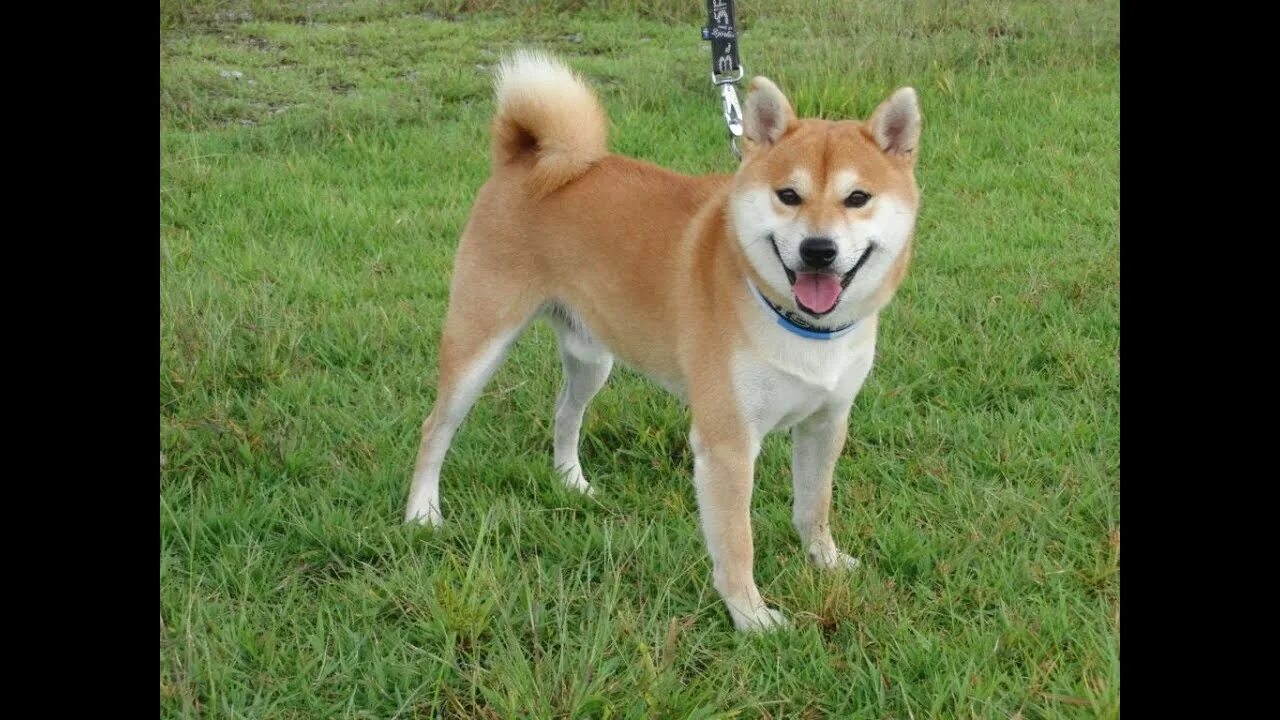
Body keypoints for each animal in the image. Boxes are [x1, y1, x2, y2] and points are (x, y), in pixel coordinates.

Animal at [409, 50, 921, 627]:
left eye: (858, 198)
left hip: (592, 356)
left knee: (566, 413)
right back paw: (422, 513)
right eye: (788, 196)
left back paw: (571, 482)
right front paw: (751, 617)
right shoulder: (727, 442)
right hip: (479, 344)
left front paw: (825, 562)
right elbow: (737, 541)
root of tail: (525, 159)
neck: (796, 324)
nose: (818, 250)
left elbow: (814, 506)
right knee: (436, 429)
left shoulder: (826, 421)